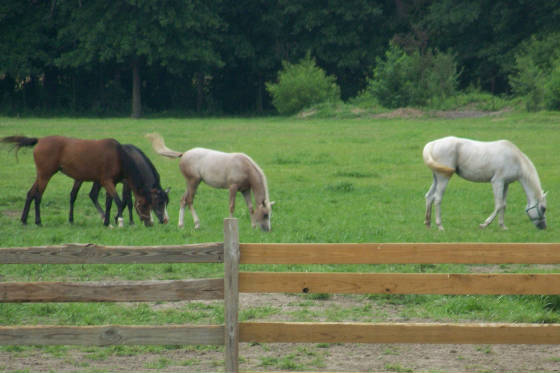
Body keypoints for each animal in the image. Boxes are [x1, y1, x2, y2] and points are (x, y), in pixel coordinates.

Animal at [0, 135, 151, 225]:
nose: (149, 223)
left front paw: (108, 221)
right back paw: (38, 221)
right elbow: (119, 202)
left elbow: (111, 202)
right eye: (143, 205)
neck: (118, 155)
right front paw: (118, 221)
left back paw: (24, 219)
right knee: (37, 196)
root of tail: (39, 140)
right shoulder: (107, 181)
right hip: (45, 175)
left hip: (41, 175)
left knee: (30, 194)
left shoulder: (109, 183)